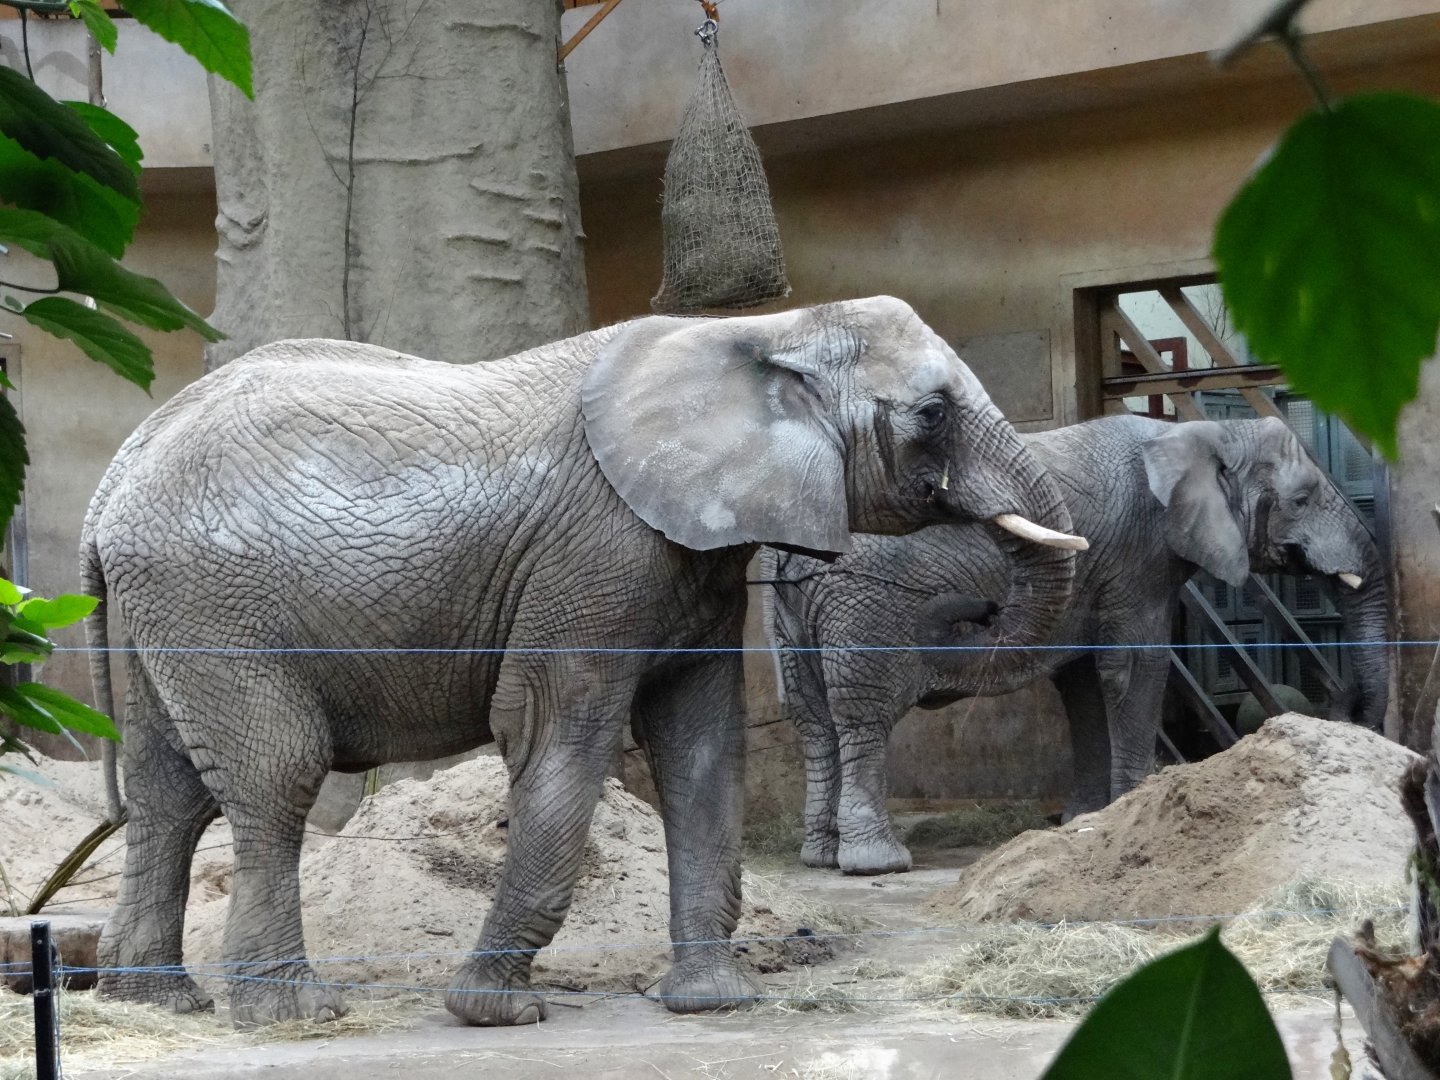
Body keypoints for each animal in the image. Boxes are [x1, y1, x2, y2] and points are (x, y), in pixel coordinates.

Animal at [82, 297, 1087, 1027]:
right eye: (932, 413)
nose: (971, 610)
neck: (763, 329)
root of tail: (116, 475)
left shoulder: (692, 557)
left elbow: (699, 747)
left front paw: (714, 1004)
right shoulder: (594, 556)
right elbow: (559, 738)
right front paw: (491, 1013)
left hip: (165, 613)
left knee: (167, 791)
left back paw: (157, 1001)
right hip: (214, 603)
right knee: (274, 776)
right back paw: (294, 1015)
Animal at [762, 413, 1387, 875]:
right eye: (1302, 499)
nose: (1347, 705)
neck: (1201, 431)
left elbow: (1084, 682)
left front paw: (1088, 818)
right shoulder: (1139, 555)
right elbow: (1135, 667)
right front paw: (1130, 811)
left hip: (790, 613)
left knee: (813, 720)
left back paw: (820, 856)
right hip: (864, 604)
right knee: (862, 718)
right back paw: (878, 863)